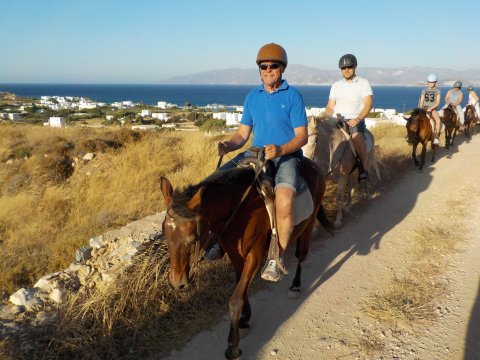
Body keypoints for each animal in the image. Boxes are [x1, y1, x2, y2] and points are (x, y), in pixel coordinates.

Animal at [159, 161, 332, 360]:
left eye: (192, 239)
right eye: (165, 234)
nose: (176, 282)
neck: (239, 211)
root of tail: (315, 166)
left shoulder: (253, 256)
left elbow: (235, 299)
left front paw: (233, 346)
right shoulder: (235, 254)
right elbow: (240, 289)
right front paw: (244, 319)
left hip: (309, 223)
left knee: (302, 255)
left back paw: (295, 285)